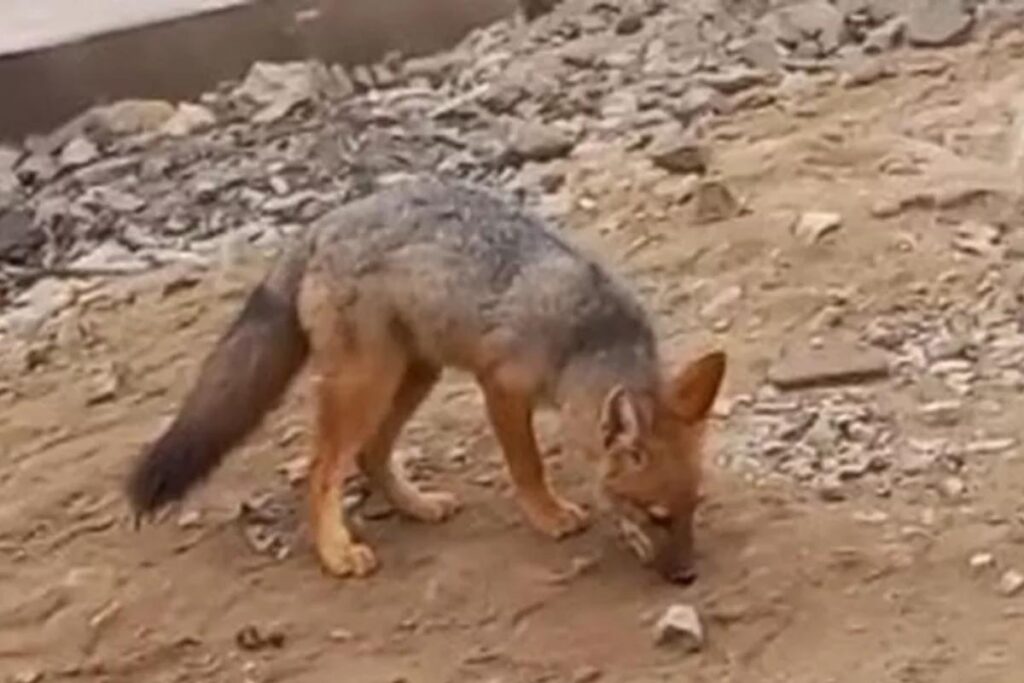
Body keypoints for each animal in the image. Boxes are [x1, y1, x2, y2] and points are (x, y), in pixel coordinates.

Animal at [126, 175, 727, 584]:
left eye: (693, 508)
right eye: (655, 515)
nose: (687, 577)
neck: (587, 340)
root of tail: (321, 224)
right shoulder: (501, 389)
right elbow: (527, 466)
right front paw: (549, 515)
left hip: (414, 375)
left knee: (371, 456)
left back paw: (415, 506)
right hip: (368, 384)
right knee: (324, 471)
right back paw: (336, 552)